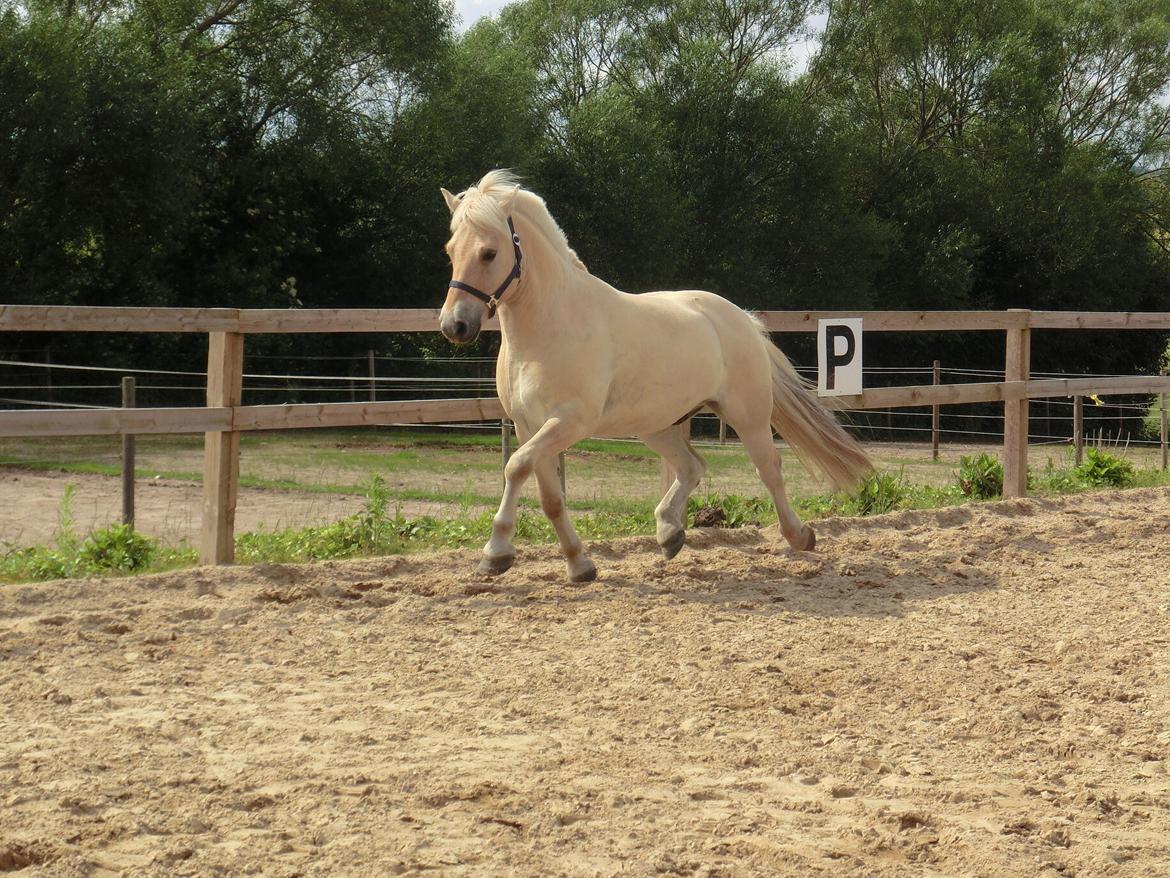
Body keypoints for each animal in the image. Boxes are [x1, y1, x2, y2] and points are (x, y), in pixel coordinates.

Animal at [439, 170, 870, 585]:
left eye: (489, 252)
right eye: (450, 251)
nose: (454, 325)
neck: (549, 325)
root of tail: (741, 318)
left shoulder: (568, 422)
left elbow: (515, 468)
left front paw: (496, 553)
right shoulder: (529, 426)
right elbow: (549, 496)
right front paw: (580, 565)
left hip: (747, 415)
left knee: (769, 469)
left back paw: (800, 536)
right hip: (656, 424)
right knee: (692, 466)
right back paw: (669, 533)